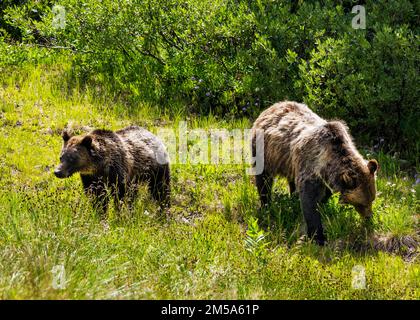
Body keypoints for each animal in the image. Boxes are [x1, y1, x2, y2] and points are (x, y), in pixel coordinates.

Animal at [251, 101, 378, 246]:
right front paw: (318, 236)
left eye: (372, 199)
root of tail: (272, 107)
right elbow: (309, 201)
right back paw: (265, 204)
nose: (369, 217)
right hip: (266, 151)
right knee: (264, 179)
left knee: (291, 179)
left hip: (290, 163)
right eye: (362, 203)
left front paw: (322, 204)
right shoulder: (310, 167)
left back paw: (292, 195)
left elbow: (323, 195)